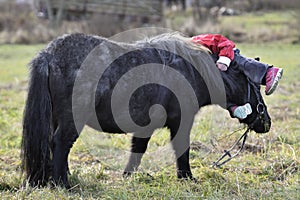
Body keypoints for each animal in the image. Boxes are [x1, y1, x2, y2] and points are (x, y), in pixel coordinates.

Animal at [20, 32, 270, 188]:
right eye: (253, 84)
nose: (266, 122)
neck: (189, 70)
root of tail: (49, 54)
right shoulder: (182, 122)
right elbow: (182, 149)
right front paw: (187, 178)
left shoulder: (144, 126)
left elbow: (137, 149)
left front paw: (127, 177)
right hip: (71, 120)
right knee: (60, 143)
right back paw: (63, 184)